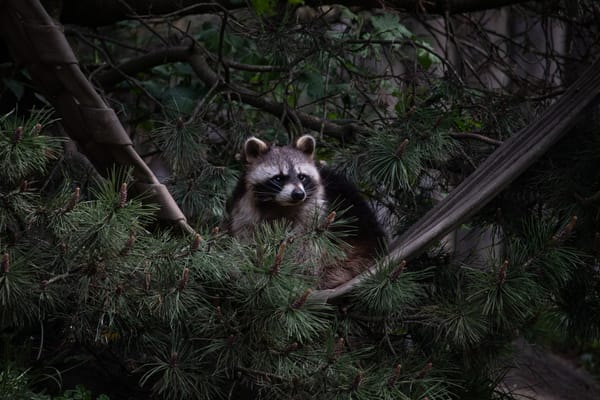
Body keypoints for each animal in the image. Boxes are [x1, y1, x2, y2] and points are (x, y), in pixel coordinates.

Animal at [227, 134, 386, 288]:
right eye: (278, 178)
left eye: (302, 176)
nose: (298, 194)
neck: (280, 205)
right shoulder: (244, 206)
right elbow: (245, 235)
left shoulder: (315, 210)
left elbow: (306, 245)